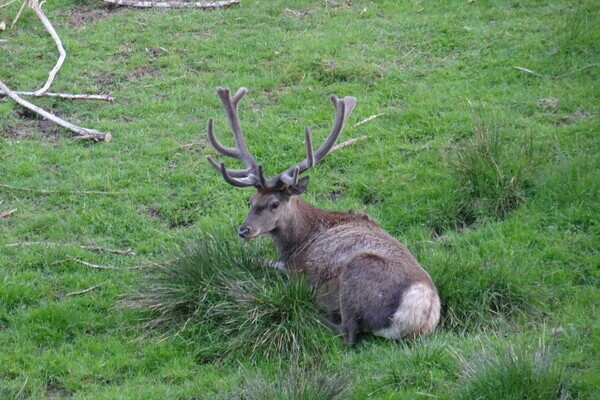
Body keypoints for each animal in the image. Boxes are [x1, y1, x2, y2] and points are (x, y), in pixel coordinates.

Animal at [206, 87, 440, 344]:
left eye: (274, 203)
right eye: (250, 201)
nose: (244, 230)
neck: (298, 241)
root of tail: (418, 316)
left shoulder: (296, 269)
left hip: (356, 272)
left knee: (348, 332)